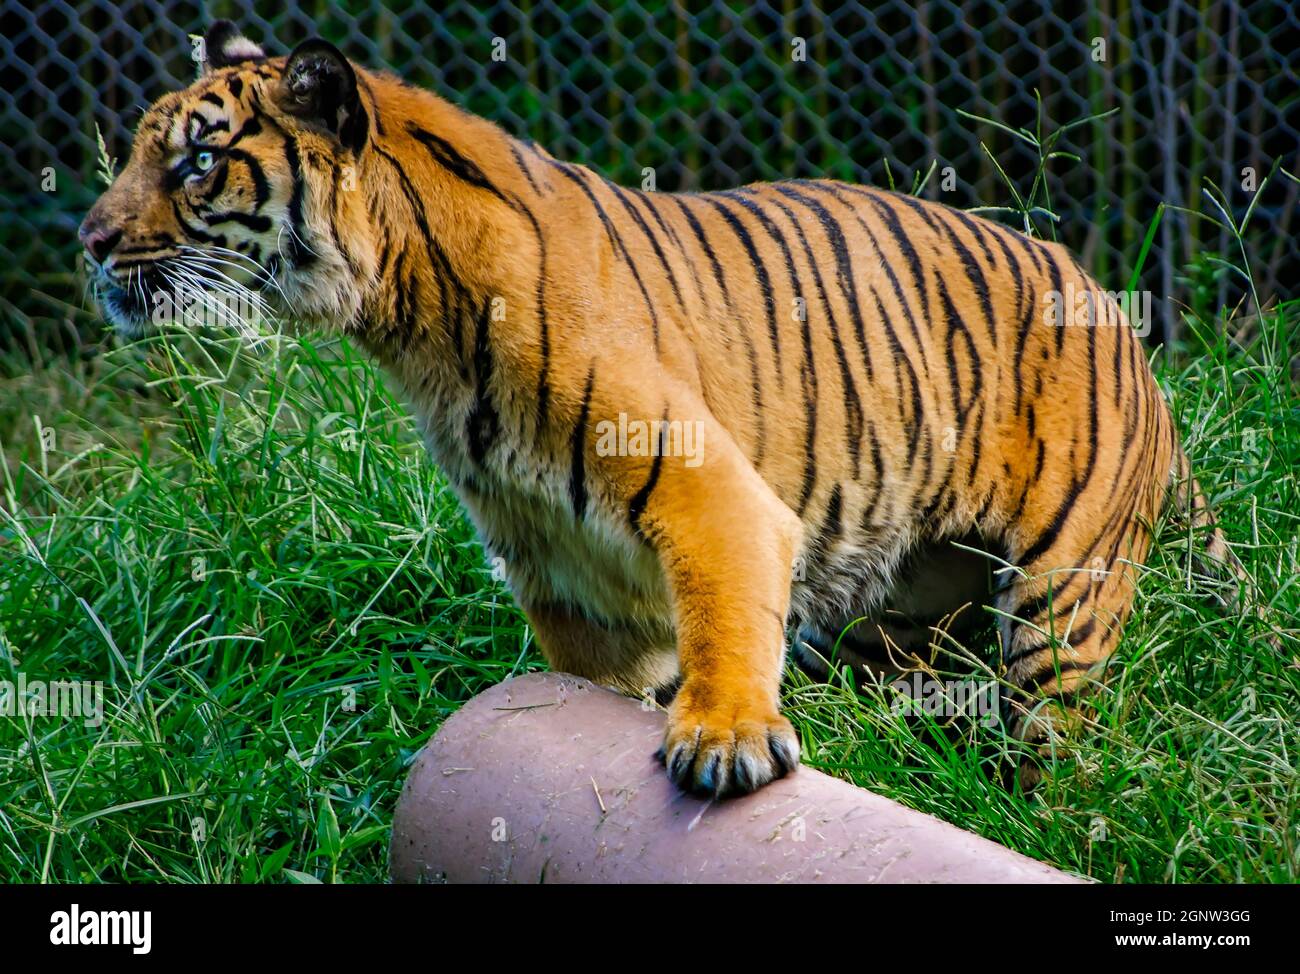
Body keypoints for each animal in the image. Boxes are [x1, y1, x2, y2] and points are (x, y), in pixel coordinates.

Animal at [78, 20, 1248, 795]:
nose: (89, 239)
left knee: (1061, 746)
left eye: (195, 162)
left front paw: (725, 740)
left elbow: (726, 615)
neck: (409, 325)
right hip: (900, 616)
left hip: (1061, 598)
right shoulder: (569, 576)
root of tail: (1116, 311)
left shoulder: (710, 492)